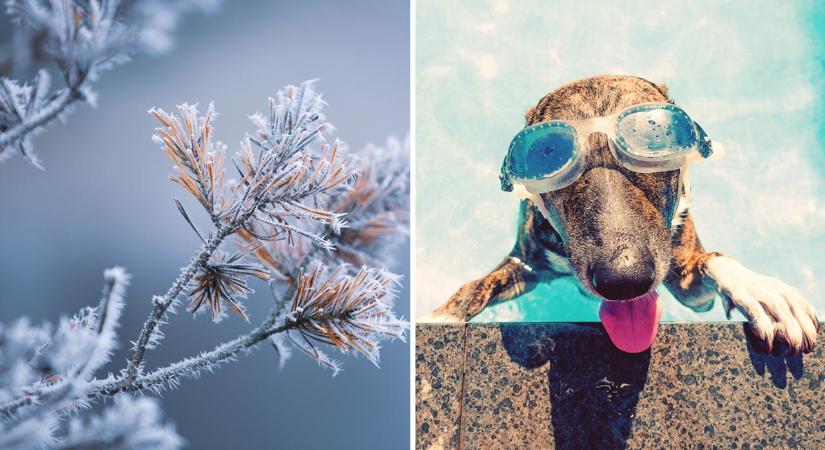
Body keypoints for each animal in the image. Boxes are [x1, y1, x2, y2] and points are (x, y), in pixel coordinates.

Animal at [432, 74, 816, 356]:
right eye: (546, 153)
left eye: (655, 137)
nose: (624, 280)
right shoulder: (525, 261)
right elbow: (473, 289)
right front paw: (438, 317)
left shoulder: (693, 291)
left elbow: (711, 261)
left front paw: (762, 292)